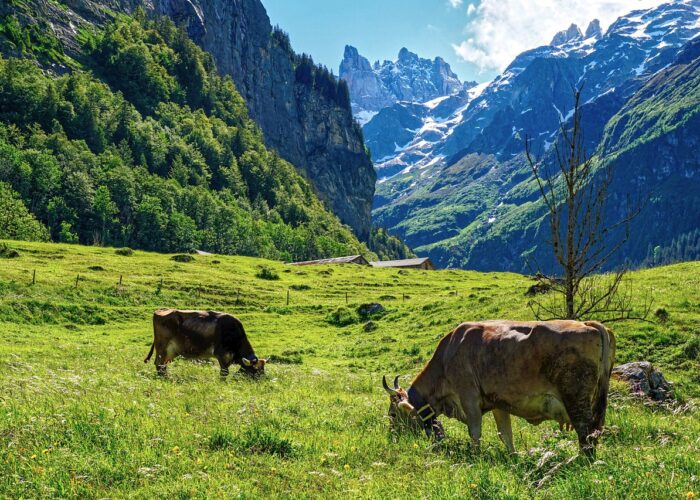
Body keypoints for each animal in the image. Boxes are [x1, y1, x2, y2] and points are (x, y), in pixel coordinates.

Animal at [383, 320, 615, 456]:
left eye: (392, 414)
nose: (391, 436)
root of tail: (589, 325)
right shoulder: (498, 403)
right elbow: (505, 434)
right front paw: (513, 457)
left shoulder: (469, 398)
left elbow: (475, 432)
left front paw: (476, 458)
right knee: (595, 431)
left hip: (576, 398)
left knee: (586, 432)